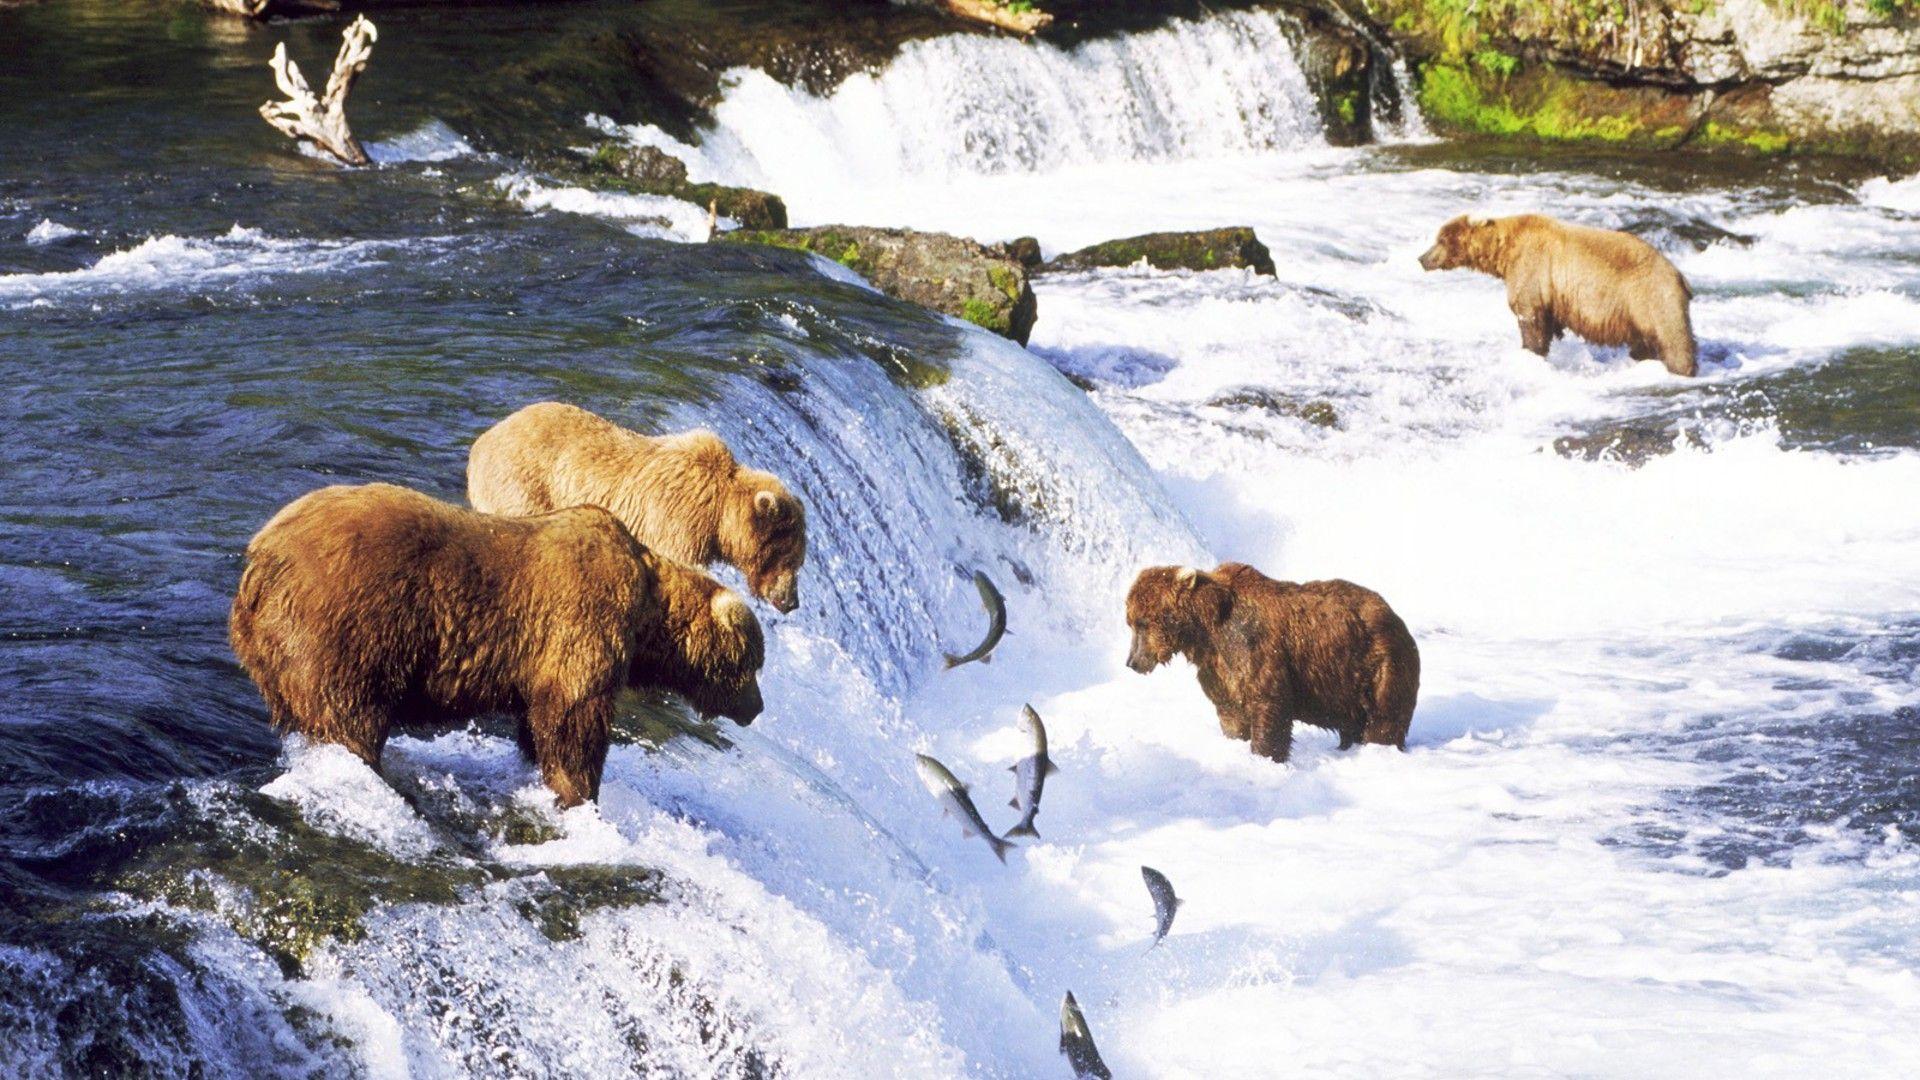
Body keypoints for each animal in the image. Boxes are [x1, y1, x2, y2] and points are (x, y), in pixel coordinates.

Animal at [229, 483, 765, 807]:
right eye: (753, 663)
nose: (757, 708)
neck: (647, 612)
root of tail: (260, 556)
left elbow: (538, 719)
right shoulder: (583, 624)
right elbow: (574, 719)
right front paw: (580, 793)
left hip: (272, 648)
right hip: (347, 628)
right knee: (349, 714)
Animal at [467, 402, 807, 613]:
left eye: (798, 561)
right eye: (790, 557)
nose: (792, 601)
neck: (718, 515)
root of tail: (481, 442)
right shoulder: (675, 522)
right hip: (523, 486)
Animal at [1124, 563, 1419, 764]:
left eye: (1142, 622)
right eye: (1131, 622)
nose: (1132, 662)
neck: (1206, 631)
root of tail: (1396, 617)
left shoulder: (1254, 649)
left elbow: (1268, 705)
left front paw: (1265, 755)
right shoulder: (1218, 669)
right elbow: (1230, 713)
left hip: (1379, 665)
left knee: (1383, 719)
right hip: (1347, 687)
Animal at [1419, 213, 1697, 377]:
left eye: (1441, 240)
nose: (1422, 258)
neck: (1504, 253)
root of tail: (1679, 275)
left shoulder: (1531, 269)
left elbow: (1530, 318)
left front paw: (1530, 352)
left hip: (1651, 296)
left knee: (1674, 339)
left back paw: (1682, 369)